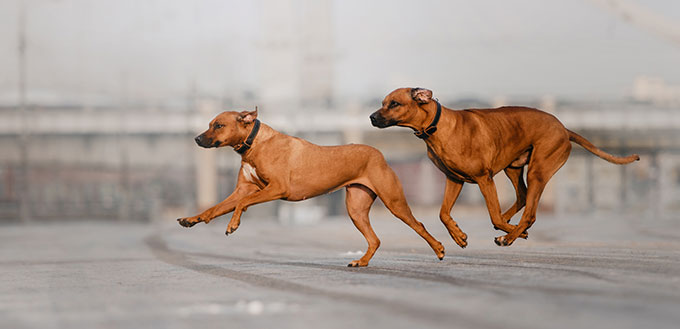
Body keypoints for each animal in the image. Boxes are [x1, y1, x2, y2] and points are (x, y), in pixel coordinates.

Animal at [177, 109, 446, 266]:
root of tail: (378, 153)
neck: (254, 144)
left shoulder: (277, 188)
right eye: (209, 124)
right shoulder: (243, 189)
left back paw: (440, 249)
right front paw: (192, 219)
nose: (197, 139)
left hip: (394, 201)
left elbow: (242, 204)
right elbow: (215, 208)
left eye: (218, 125)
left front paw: (233, 224)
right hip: (356, 208)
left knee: (418, 225)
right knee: (375, 239)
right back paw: (361, 261)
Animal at [370, 87, 640, 246]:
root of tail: (564, 129)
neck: (438, 126)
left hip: (538, 170)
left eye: (394, 104)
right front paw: (458, 235)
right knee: (521, 198)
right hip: (513, 167)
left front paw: (509, 230)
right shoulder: (454, 179)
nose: (372, 117)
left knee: (529, 213)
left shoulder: (484, 178)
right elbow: (443, 214)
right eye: (383, 102)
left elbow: (493, 214)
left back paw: (510, 235)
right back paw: (512, 226)